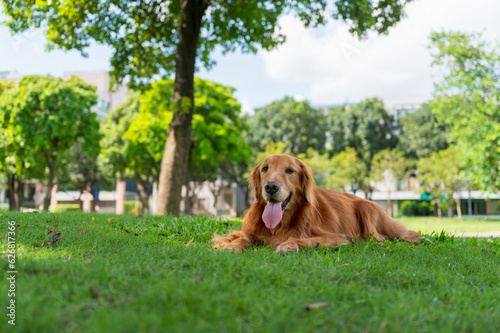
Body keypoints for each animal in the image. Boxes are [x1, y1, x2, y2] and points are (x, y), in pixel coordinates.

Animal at [213, 154, 420, 253]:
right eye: (265, 168)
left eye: (290, 171)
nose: (270, 187)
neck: (279, 225)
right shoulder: (250, 231)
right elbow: (242, 237)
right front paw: (232, 246)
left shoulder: (335, 236)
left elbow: (304, 239)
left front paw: (288, 245)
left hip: (367, 210)